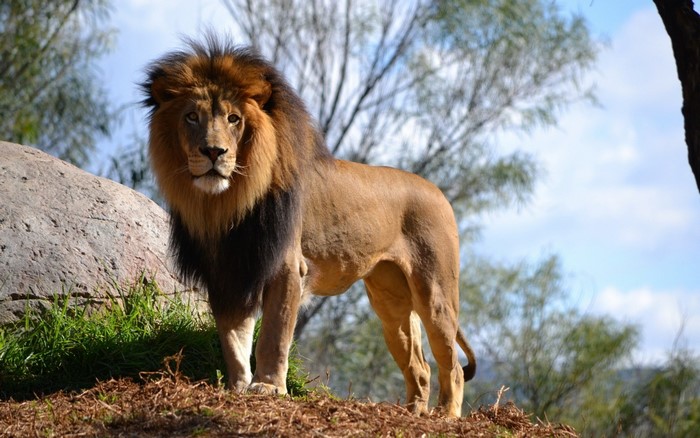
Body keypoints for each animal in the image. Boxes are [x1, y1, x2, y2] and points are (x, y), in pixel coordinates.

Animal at [142, 35, 476, 418]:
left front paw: (268, 387)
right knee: (419, 366)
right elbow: (233, 336)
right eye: (191, 117)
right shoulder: (228, 270)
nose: (214, 152)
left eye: (233, 118)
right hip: (390, 299)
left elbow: (273, 334)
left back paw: (446, 414)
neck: (227, 203)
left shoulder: (287, 266)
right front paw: (237, 386)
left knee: (452, 363)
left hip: (434, 291)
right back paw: (414, 412)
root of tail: (438, 192)